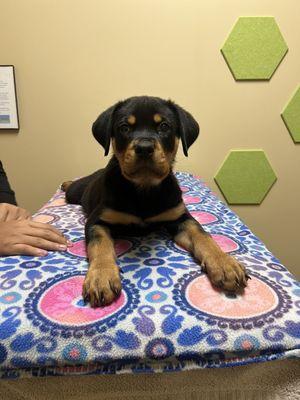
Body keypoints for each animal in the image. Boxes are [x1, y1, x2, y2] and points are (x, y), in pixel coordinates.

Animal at [62, 96, 247, 306]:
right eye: (124, 127)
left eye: (164, 126)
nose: (144, 148)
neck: (144, 189)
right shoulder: (96, 221)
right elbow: (100, 245)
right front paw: (101, 277)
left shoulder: (180, 217)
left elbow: (203, 235)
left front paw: (225, 264)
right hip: (77, 192)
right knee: (74, 187)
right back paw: (66, 183)